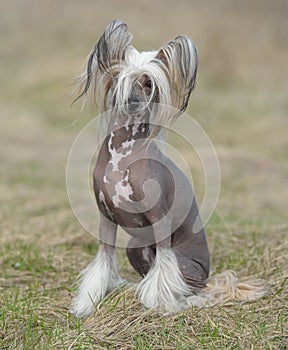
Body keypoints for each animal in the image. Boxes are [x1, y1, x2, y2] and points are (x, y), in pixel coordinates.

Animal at [70, 20, 268, 318]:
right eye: (120, 80)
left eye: (148, 82)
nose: (132, 101)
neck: (124, 152)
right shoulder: (106, 218)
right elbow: (103, 261)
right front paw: (88, 303)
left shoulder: (160, 219)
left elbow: (163, 266)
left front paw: (159, 305)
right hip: (135, 247)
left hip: (185, 266)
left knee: (190, 288)